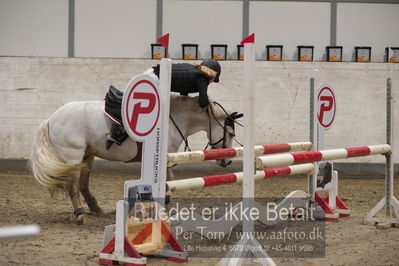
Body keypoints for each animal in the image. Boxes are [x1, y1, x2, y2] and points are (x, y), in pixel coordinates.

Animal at [28, 94, 241, 223]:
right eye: (230, 133)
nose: (227, 161)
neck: (173, 117)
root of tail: (52, 119)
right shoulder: (165, 157)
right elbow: (168, 182)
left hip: (87, 156)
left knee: (83, 185)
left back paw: (96, 209)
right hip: (73, 156)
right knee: (73, 186)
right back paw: (80, 214)